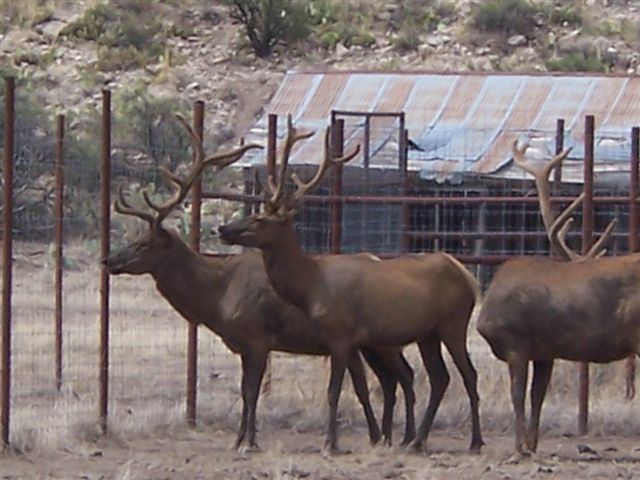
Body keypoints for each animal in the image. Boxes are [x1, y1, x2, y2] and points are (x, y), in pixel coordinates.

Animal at [102, 115, 418, 450]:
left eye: (143, 244)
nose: (108, 260)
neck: (218, 298)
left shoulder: (258, 337)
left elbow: (252, 392)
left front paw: (250, 441)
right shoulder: (242, 345)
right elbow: (244, 390)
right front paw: (239, 438)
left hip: (383, 340)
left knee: (402, 376)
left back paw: (399, 437)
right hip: (368, 344)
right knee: (386, 381)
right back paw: (382, 436)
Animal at [218, 115, 482, 454]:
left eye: (261, 220)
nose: (223, 228)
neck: (312, 288)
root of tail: (467, 277)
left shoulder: (341, 334)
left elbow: (334, 392)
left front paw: (330, 443)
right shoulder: (338, 339)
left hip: (454, 323)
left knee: (468, 374)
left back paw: (475, 441)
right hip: (428, 333)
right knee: (440, 378)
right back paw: (417, 441)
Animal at [478, 141, 636, 456]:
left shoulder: (516, 342)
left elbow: (517, 395)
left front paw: (520, 448)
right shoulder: (544, 351)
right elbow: (537, 396)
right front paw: (532, 444)